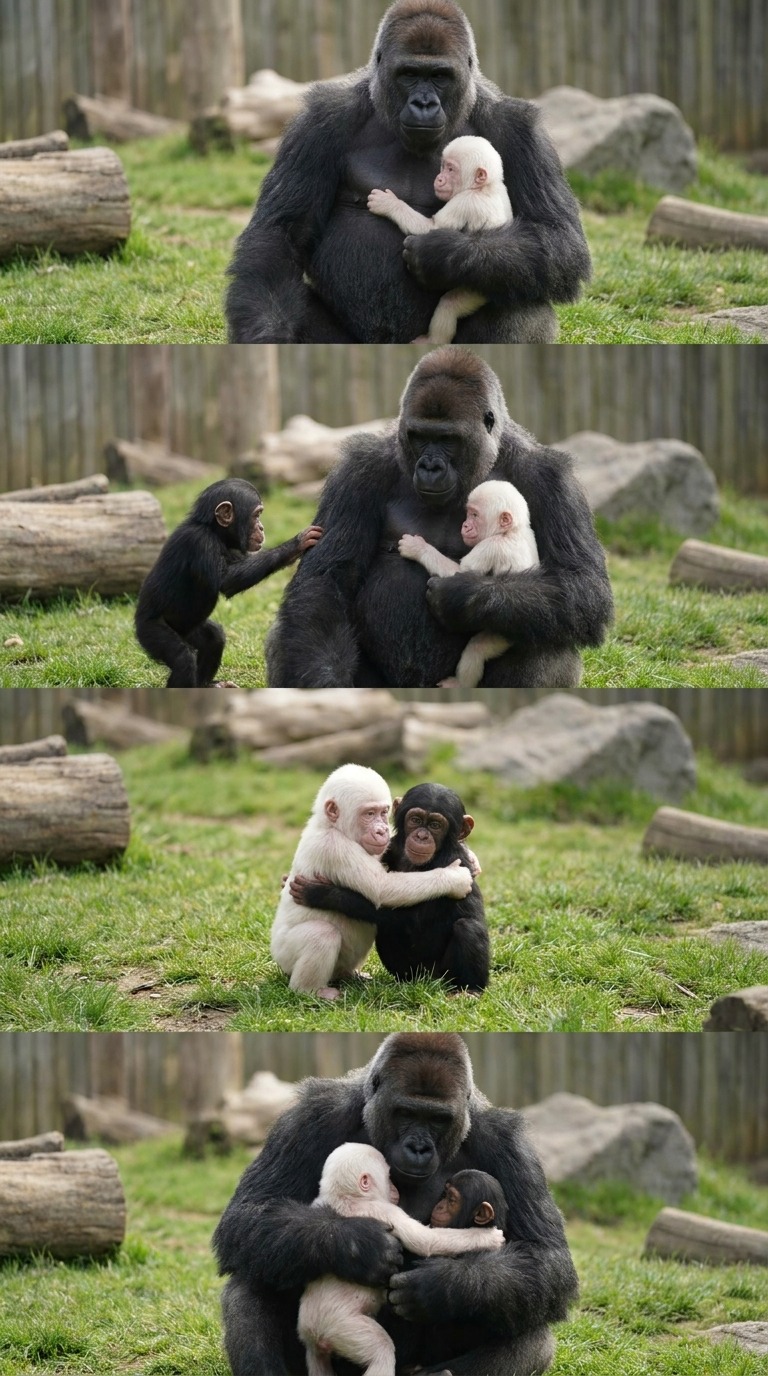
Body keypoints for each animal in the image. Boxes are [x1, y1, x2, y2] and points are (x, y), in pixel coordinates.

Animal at [270, 765, 473, 1000]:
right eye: (369, 814)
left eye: (383, 812)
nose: (381, 829)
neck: (334, 828)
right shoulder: (334, 847)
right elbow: (383, 887)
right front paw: (456, 879)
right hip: (284, 954)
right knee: (321, 935)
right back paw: (312, 991)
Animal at [297, 1143, 504, 1376]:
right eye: (388, 1177)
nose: (394, 1188)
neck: (346, 1197)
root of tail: (311, 1332)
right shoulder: (386, 1210)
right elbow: (426, 1241)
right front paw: (485, 1237)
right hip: (339, 1326)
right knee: (381, 1350)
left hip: (314, 1344)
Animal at [368, 135, 513, 344]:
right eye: (443, 166)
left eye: (451, 169)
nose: (440, 178)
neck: (485, 187)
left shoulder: (466, 202)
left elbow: (432, 228)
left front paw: (389, 204)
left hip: (478, 290)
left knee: (450, 304)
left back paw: (433, 339)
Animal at [399, 478, 540, 687]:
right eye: (468, 513)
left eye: (475, 515)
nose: (465, 525)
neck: (511, 530)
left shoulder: (490, 547)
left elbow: (461, 573)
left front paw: (418, 548)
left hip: (503, 634)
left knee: (477, 649)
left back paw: (459, 683)